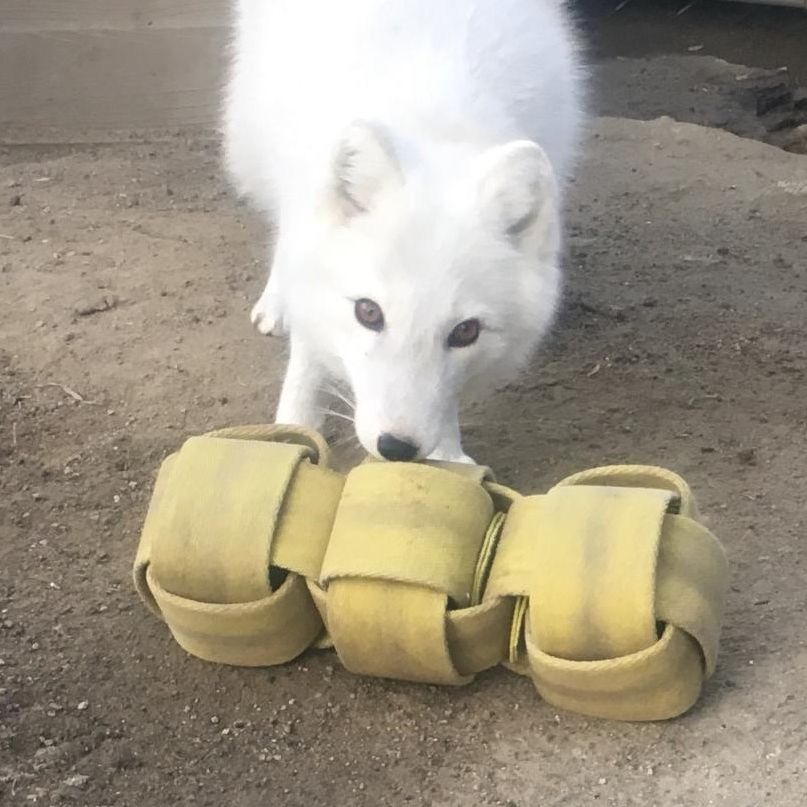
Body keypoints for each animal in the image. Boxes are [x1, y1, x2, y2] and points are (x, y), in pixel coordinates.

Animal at [224, 0, 584, 464]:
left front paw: (448, 454)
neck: (433, 123)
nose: (396, 448)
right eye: (368, 312)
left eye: (466, 331)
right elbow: (308, 357)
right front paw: (294, 426)